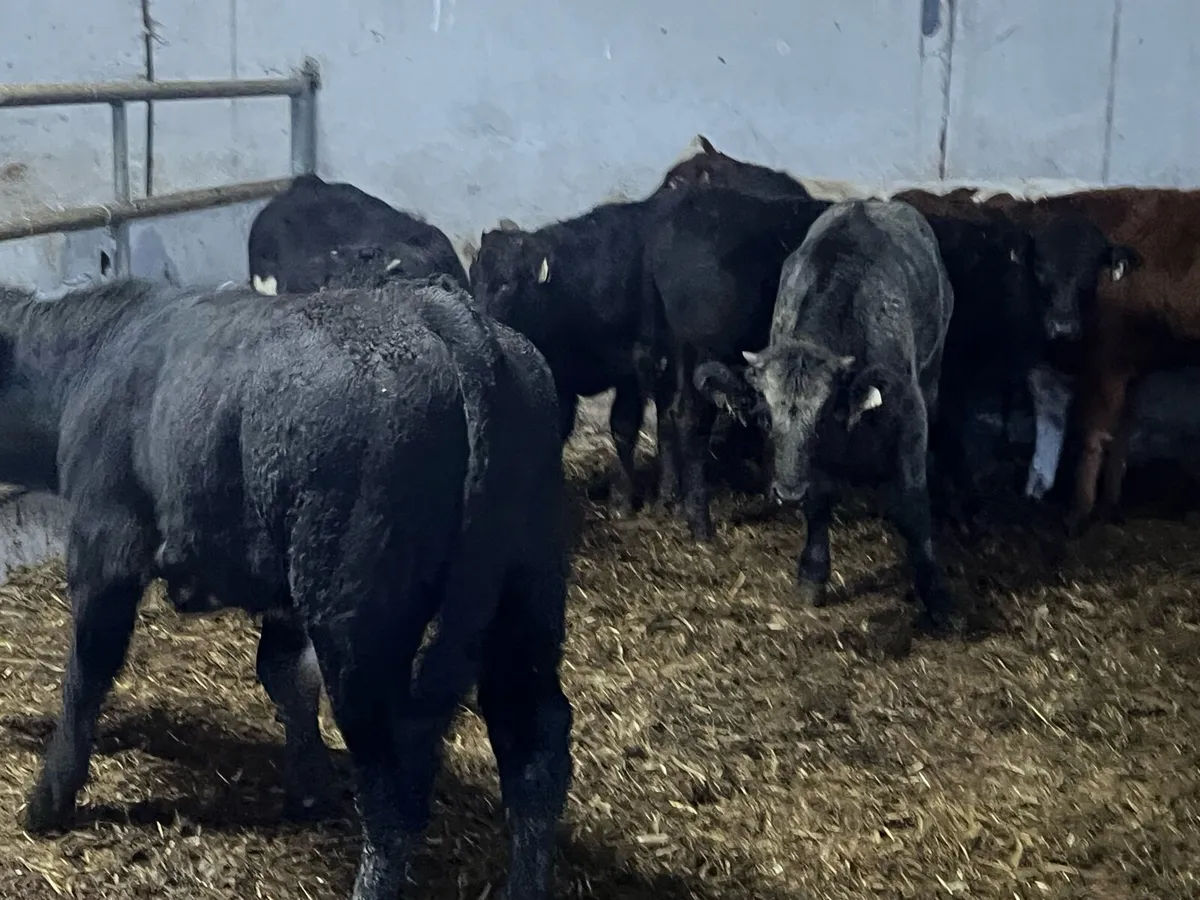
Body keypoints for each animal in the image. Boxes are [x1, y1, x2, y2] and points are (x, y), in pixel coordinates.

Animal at [1, 275, 571, 900]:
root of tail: (439, 309)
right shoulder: (286, 594)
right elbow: (285, 675)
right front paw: (310, 787)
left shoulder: (107, 544)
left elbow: (87, 674)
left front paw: (47, 802)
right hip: (527, 594)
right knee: (536, 750)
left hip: (357, 622)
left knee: (395, 783)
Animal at [641, 186, 832, 538]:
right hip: (705, 350)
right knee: (689, 417)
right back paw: (700, 524)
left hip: (674, 348)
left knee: (667, 410)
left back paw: (669, 500)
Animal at [693, 199, 962, 634]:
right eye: (766, 420)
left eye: (821, 419)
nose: (787, 493)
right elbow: (819, 501)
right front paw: (812, 574)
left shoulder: (910, 418)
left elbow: (913, 504)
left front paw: (935, 596)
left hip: (933, 370)